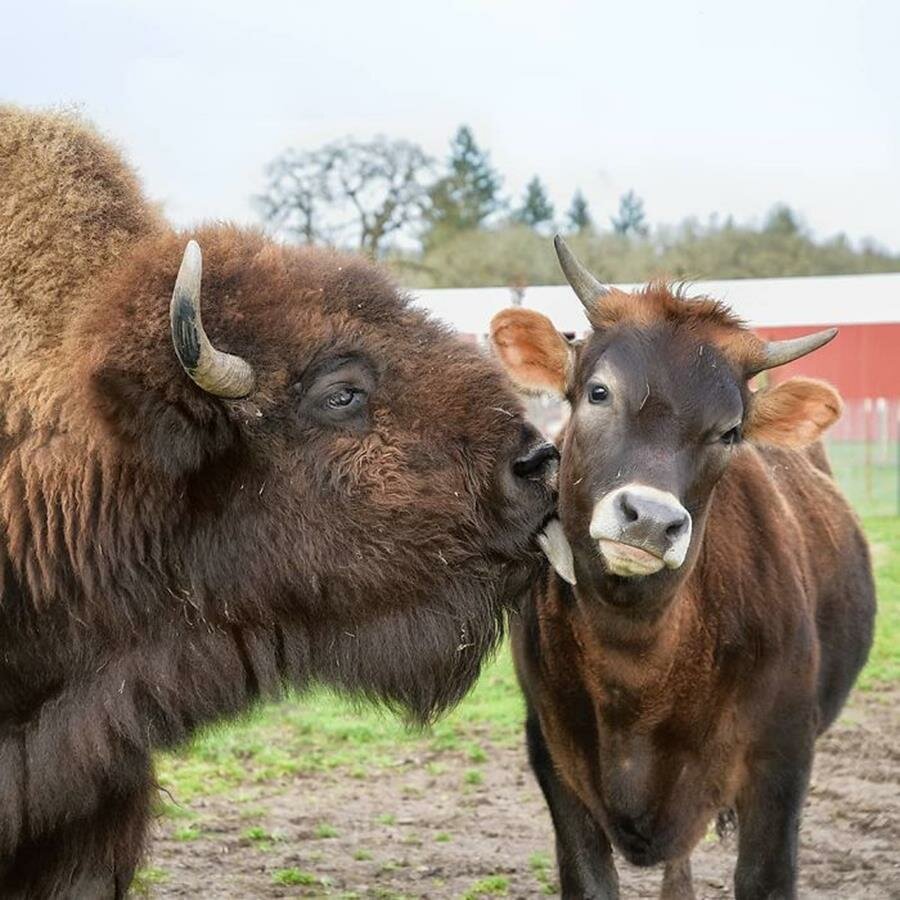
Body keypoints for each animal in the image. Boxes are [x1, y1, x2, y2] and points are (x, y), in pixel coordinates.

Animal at [488, 239, 876, 900]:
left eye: (731, 431)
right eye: (598, 392)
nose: (650, 518)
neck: (637, 669)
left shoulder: (782, 761)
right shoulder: (553, 756)